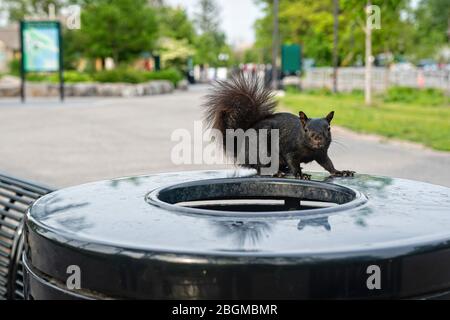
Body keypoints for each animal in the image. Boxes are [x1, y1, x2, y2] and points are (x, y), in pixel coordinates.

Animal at [204, 72, 356, 180]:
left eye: (329, 129)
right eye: (306, 129)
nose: (318, 139)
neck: (309, 149)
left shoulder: (321, 153)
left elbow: (328, 164)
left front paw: (341, 172)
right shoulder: (289, 150)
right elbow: (293, 162)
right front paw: (300, 175)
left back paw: (284, 170)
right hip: (261, 151)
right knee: (260, 168)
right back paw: (277, 173)